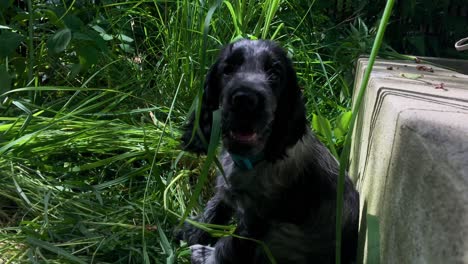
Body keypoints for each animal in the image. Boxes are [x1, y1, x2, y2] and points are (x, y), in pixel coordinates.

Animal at [179, 39, 358, 264]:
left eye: (275, 74)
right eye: (228, 69)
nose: (245, 100)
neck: (253, 159)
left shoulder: (257, 222)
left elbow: (230, 244)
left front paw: (208, 256)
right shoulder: (228, 189)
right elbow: (215, 207)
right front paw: (194, 231)